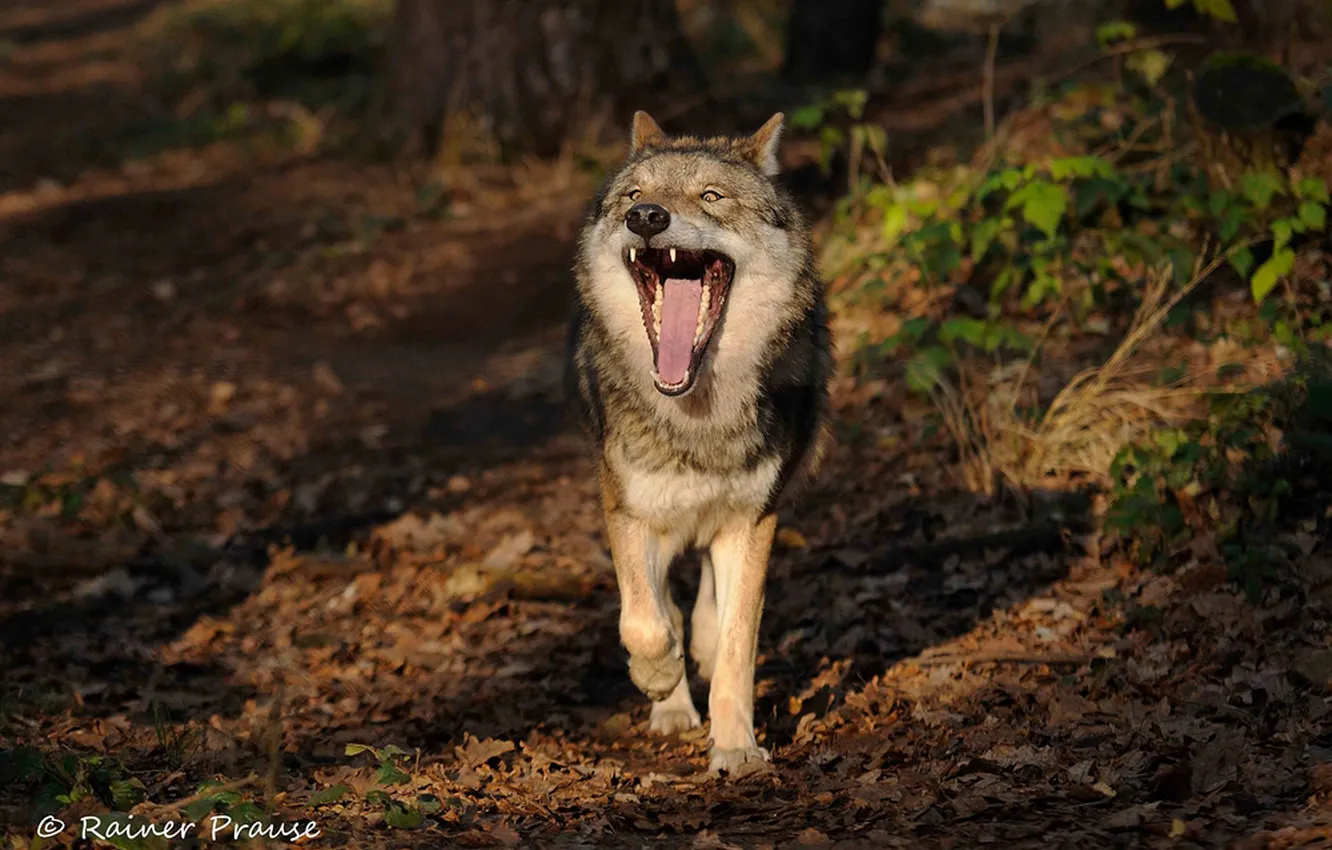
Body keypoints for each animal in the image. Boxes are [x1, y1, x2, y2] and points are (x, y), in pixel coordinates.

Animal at [565, 111, 833, 776]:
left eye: (711, 197)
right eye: (633, 197)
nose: (647, 218)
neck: (696, 418)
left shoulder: (754, 519)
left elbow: (738, 646)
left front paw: (736, 747)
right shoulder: (628, 512)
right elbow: (646, 620)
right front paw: (658, 680)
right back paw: (671, 703)